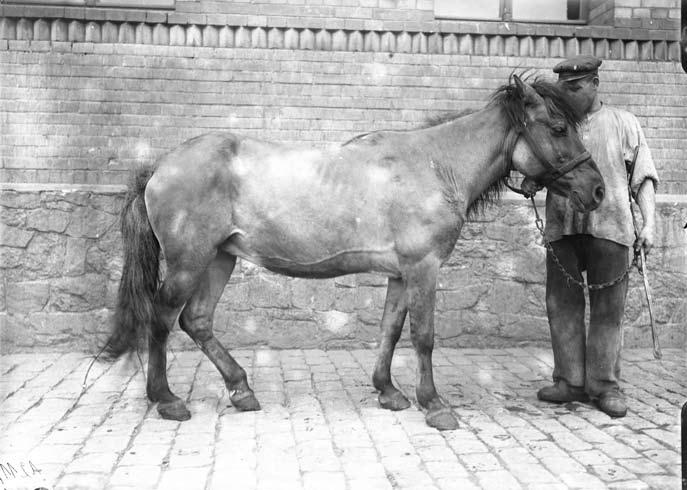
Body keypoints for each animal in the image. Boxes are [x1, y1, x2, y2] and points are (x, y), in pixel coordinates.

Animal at [106, 75, 605, 431]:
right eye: (559, 128)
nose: (597, 190)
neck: (434, 166)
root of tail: (160, 166)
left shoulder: (401, 273)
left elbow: (390, 330)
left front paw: (389, 392)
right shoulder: (423, 269)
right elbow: (423, 336)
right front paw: (435, 405)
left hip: (219, 257)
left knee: (198, 321)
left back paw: (241, 389)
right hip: (189, 262)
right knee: (162, 318)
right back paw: (167, 400)